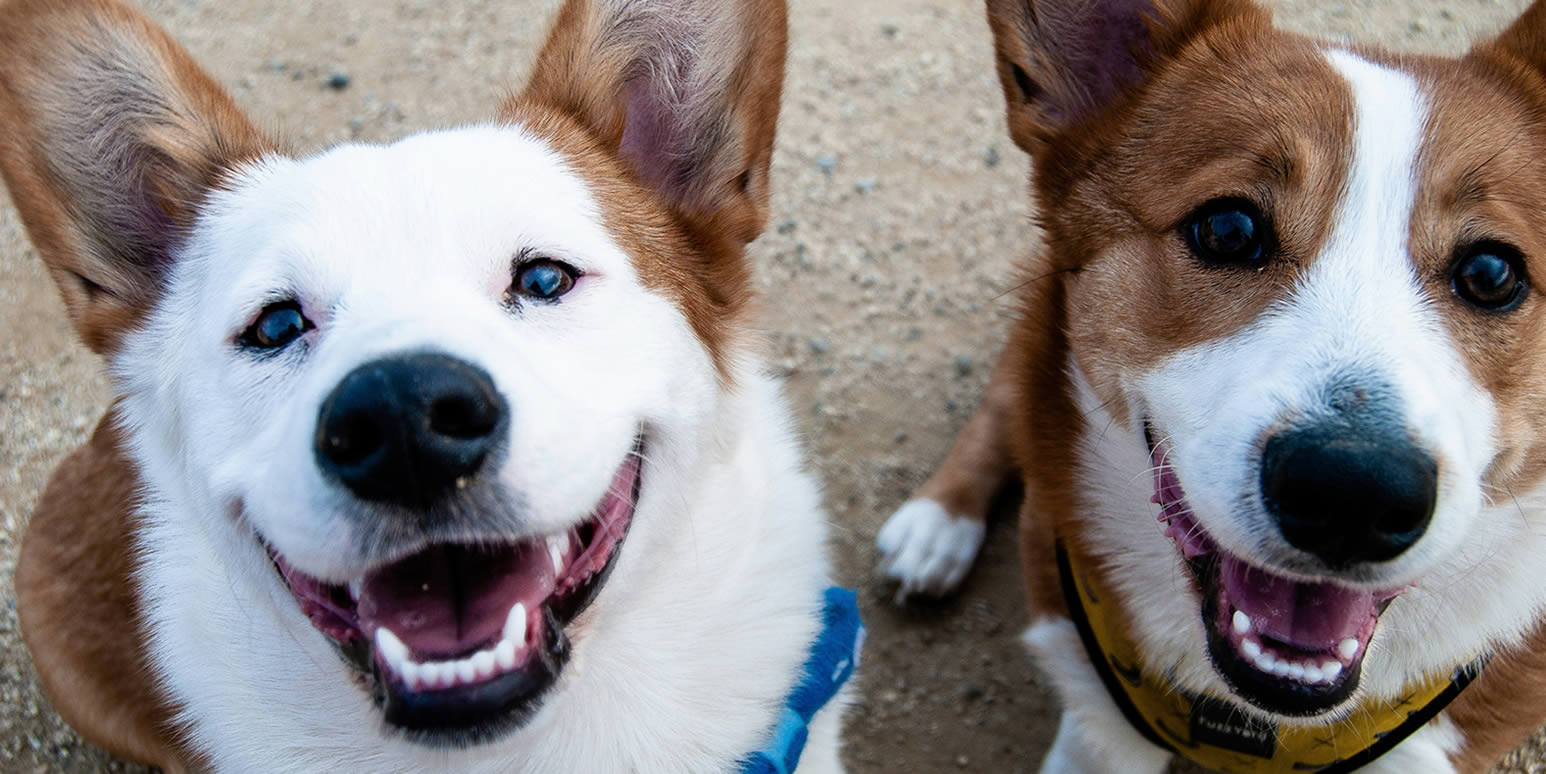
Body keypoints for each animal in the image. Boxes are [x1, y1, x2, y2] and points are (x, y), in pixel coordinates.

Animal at [884, 0, 1546, 769]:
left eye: (1492, 273)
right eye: (1228, 229)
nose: (1353, 493)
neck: (1261, 727)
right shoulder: (1095, 726)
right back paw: (937, 524)